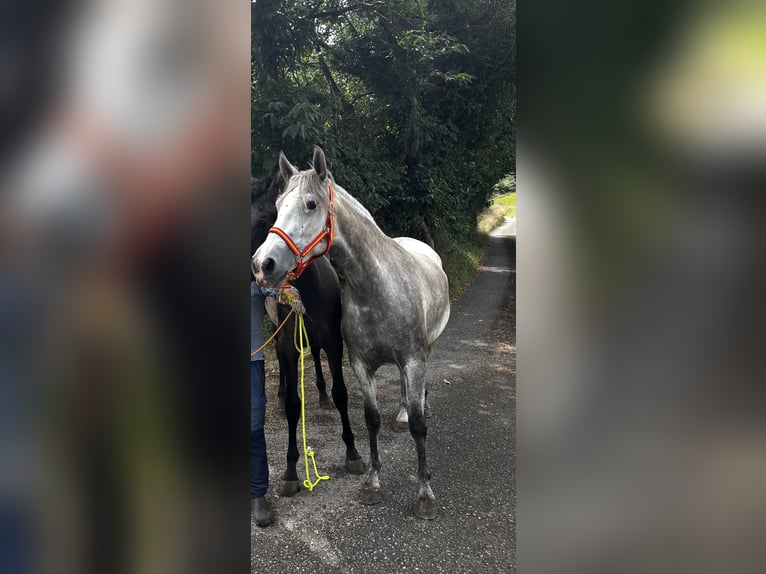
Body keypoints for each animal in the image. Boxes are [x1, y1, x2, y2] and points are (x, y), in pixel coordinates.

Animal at [255, 146, 452, 520]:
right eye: (277, 206)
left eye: (310, 204)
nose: (263, 264)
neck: (377, 285)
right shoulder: (360, 363)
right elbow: (370, 419)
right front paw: (372, 483)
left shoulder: (413, 360)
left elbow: (420, 427)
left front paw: (425, 494)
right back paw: (401, 412)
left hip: (427, 350)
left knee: (420, 393)